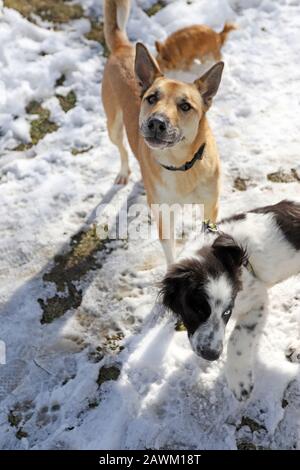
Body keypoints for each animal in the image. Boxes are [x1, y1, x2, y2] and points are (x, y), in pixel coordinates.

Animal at [102, 0, 224, 264]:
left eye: (185, 106)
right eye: (151, 98)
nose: (156, 123)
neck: (181, 165)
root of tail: (123, 47)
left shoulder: (210, 207)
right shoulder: (163, 215)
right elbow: (171, 254)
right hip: (113, 126)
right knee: (122, 149)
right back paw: (124, 172)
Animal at [161, 201, 298, 400]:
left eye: (227, 312)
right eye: (197, 310)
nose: (211, 355)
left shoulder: (258, 300)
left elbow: (237, 338)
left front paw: (239, 380)